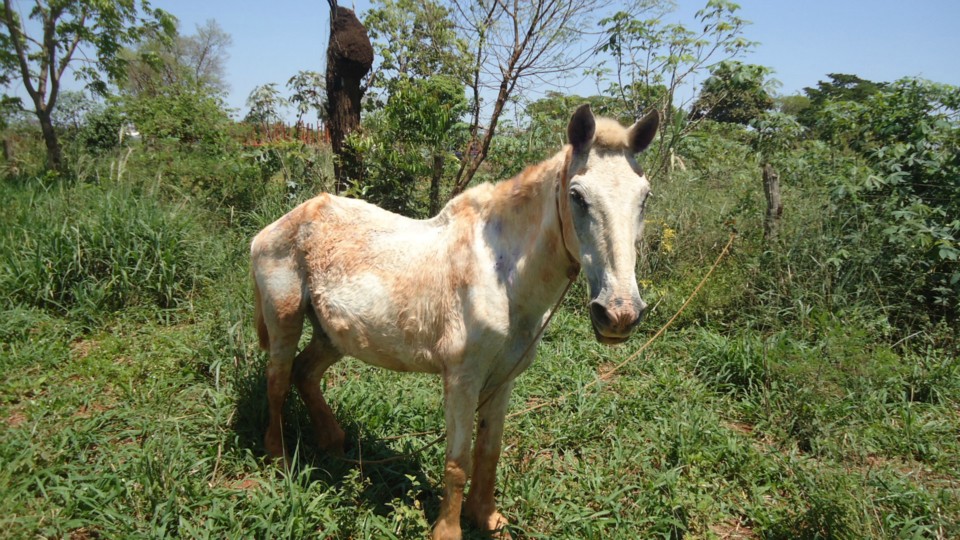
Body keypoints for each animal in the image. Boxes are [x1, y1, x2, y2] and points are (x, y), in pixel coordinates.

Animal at [249, 105, 660, 540]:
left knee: (305, 373)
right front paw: (448, 530)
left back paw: (333, 442)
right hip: (285, 321)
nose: (619, 314)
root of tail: (276, 226)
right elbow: (458, 462)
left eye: (644, 198)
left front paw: (488, 518)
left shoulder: (502, 379)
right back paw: (279, 457)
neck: (501, 277)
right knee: (278, 381)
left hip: (333, 335)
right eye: (577, 196)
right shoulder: (463, 379)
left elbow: (489, 452)